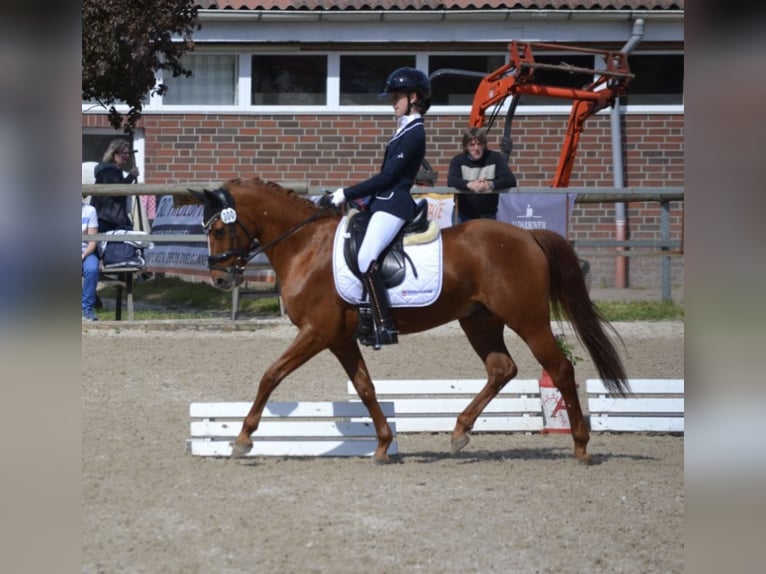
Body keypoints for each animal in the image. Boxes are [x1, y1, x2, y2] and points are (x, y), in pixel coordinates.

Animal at [189, 178, 628, 466]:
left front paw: (242, 439)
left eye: (220, 228)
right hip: (480, 321)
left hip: (528, 319)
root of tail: (528, 236)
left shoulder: (316, 332)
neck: (305, 245)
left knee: (560, 368)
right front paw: (384, 445)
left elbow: (271, 375)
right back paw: (459, 433)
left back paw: (580, 446)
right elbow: (365, 387)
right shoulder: (339, 338)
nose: (219, 279)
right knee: (501, 368)